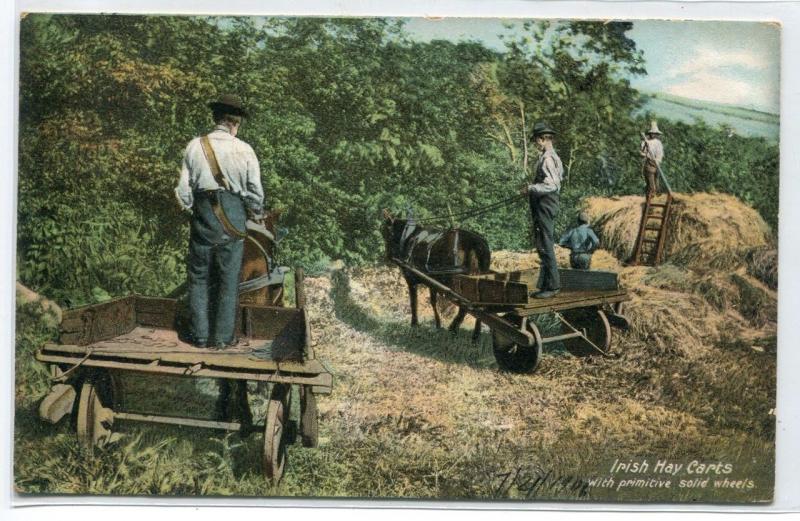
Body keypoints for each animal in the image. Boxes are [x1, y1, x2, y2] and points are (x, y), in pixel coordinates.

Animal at [380, 209, 488, 340]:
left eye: (385, 232)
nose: (388, 256)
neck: (409, 236)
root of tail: (475, 242)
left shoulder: (411, 280)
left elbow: (413, 302)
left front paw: (414, 324)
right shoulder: (432, 282)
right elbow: (433, 301)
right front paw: (437, 324)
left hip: (456, 282)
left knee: (465, 305)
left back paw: (453, 328)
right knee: (479, 305)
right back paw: (475, 335)